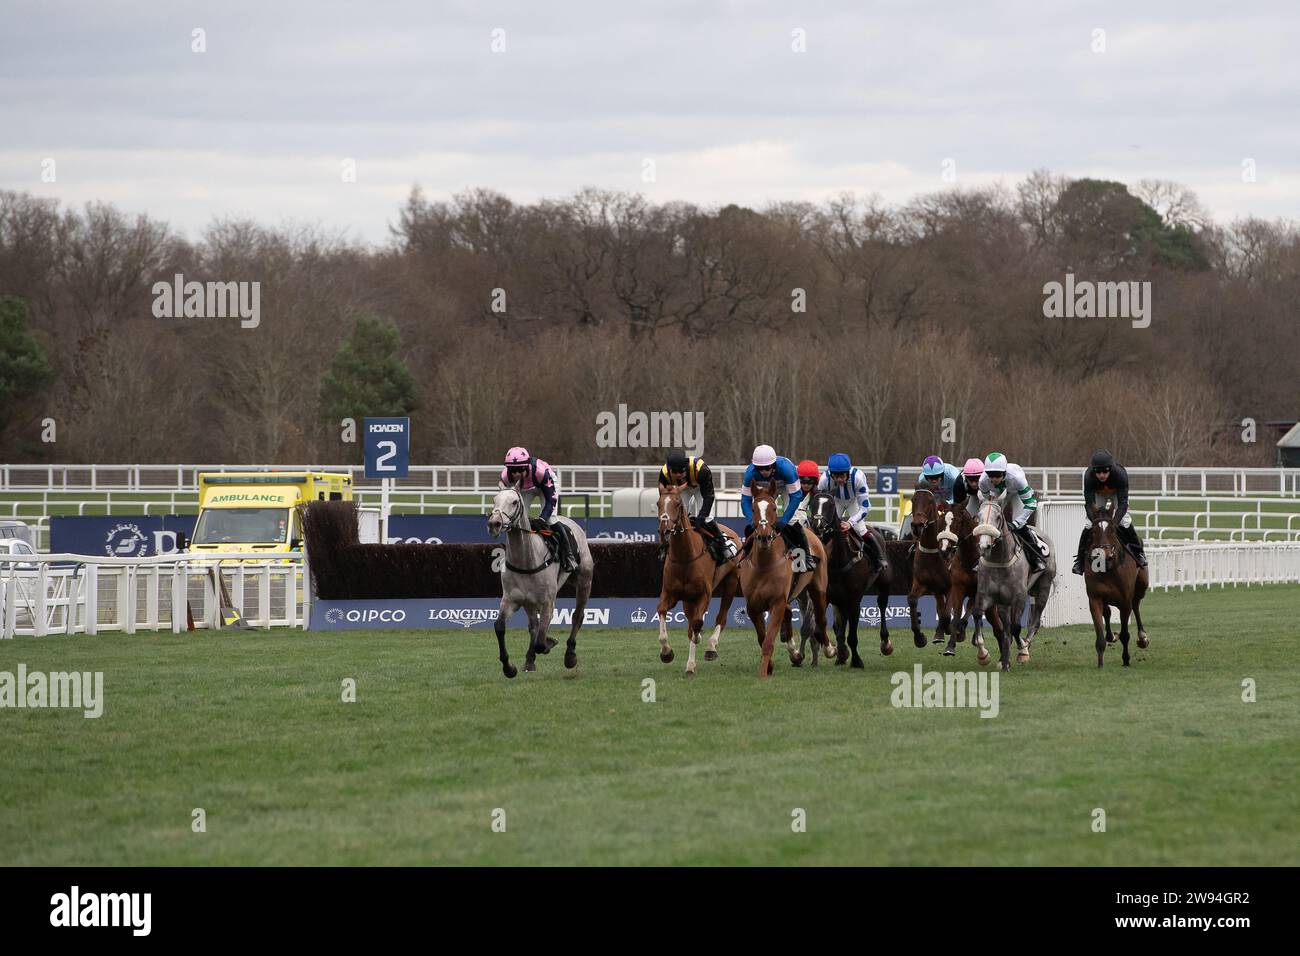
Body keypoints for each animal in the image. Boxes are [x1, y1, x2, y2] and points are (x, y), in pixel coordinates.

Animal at [488, 489, 595, 676]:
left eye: (514, 502)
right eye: (494, 500)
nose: (494, 523)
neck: (526, 560)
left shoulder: (547, 602)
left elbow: (540, 641)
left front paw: (548, 643)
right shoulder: (511, 600)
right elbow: (500, 627)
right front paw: (509, 668)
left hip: (584, 581)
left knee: (577, 616)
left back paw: (570, 655)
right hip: (529, 602)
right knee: (533, 625)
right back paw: (530, 661)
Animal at [650, 489, 743, 676]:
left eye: (677, 504)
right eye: (658, 503)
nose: (664, 530)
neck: (685, 557)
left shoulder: (703, 595)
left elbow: (697, 623)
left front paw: (690, 665)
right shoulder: (670, 594)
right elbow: (662, 611)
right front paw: (666, 652)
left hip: (731, 582)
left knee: (721, 617)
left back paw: (711, 647)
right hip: (688, 600)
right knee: (691, 622)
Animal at [738, 481, 826, 676]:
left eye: (773, 508)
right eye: (754, 509)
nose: (764, 536)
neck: (764, 564)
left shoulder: (777, 602)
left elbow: (769, 641)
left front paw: (764, 672)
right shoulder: (753, 606)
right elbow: (762, 638)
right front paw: (770, 665)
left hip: (817, 588)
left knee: (820, 616)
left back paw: (829, 648)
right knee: (789, 616)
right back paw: (796, 654)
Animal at [977, 494, 1055, 671]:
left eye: (998, 517)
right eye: (978, 516)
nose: (984, 546)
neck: (1000, 560)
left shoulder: (1019, 597)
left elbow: (1016, 627)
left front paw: (1023, 651)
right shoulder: (988, 596)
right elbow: (979, 616)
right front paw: (984, 655)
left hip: (1044, 587)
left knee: (1034, 622)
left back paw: (1024, 647)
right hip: (1004, 603)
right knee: (1006, 628)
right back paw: (1004, 660)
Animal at [1081, 496, 1154, 671]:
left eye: (1113, 531)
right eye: (1093, 531)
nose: (1104, 554)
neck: (1108, 568)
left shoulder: (1124, 600)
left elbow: (1125, 633)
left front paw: (1126, 659)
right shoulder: (1094, 598)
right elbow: (1100, 632)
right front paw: (1100, 663)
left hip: (1141, 586)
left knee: (1136, 605)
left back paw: (1142, 637)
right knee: (1107, 612)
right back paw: (1111, 635)